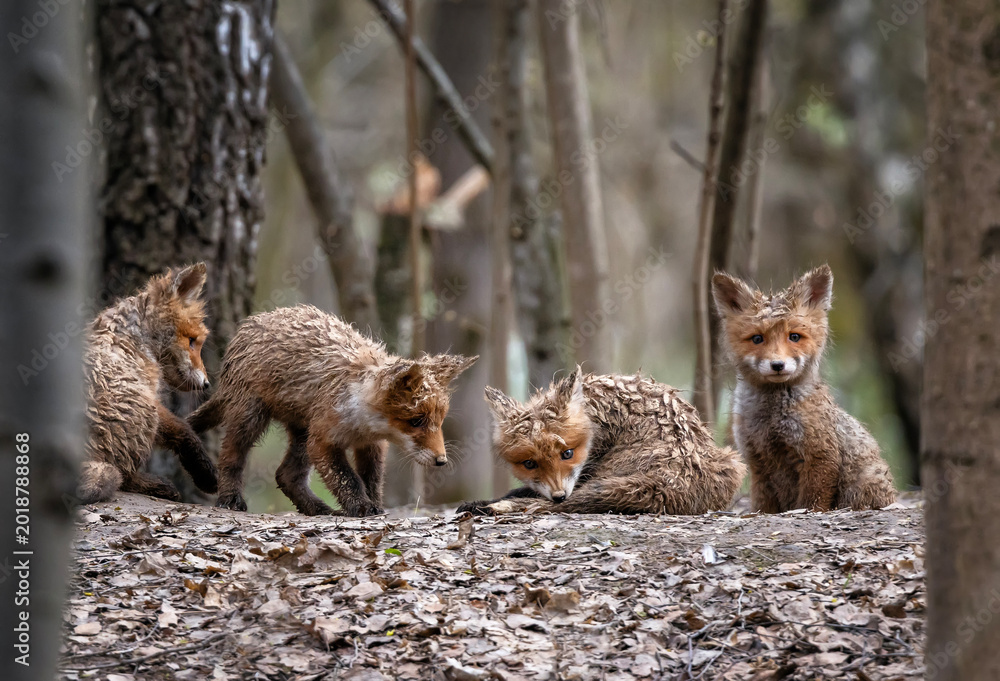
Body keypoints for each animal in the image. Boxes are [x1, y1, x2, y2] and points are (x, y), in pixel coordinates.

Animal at [79, 263, 218, 504]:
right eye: (191, 341)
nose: (206, 384)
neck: (130, 338)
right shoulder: (149, 397)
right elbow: (184, 429)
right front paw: (205, 474)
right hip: (141, 415)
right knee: (122, 475)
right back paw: (157, 485)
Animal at [188, 304, 478, 517]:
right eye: (417, 421)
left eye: (440, 421)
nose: (441, 460)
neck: (363, 422)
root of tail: (255, 320)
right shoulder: (323, 441)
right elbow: (347, 479)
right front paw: (361, 507)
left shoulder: (371, 445)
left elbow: (371, 479)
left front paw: (373, 504)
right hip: (251, 417)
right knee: (231, 457)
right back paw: (230, 498)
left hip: (301, 432)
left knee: (285, 475)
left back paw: (317, 509)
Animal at [458, 369, 746, 515]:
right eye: (529, 464)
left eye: (567, 453)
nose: (559, 497)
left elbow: (522, 495)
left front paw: (487, 503)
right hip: (732, 461)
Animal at [712, 264, 896, 513]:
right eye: (757, 339)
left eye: (794, 337)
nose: (777, 365)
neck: (771, 419)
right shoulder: (757, 462)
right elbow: (762, 505)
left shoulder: (819, 457)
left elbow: (813, 502)